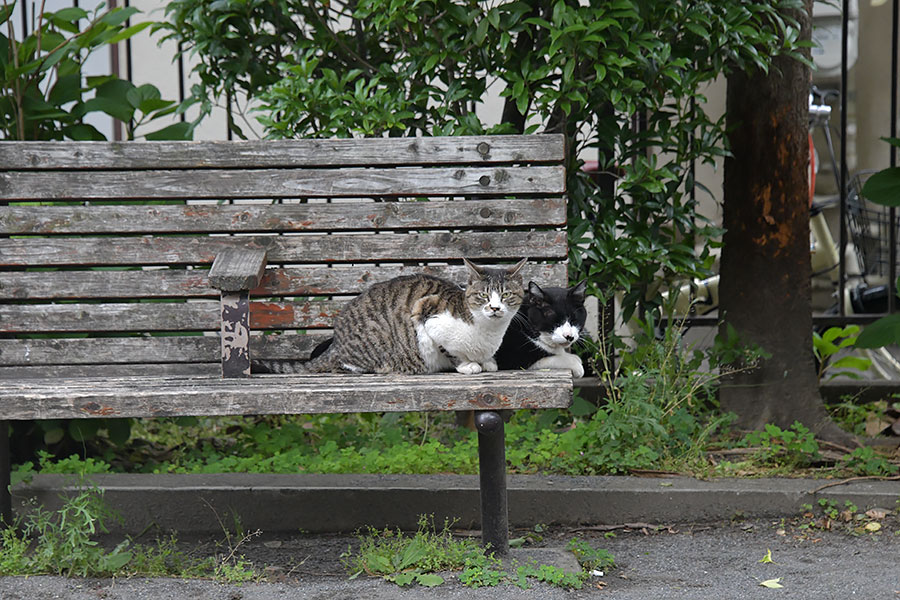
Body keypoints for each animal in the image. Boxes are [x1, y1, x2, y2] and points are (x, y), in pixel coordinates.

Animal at [251, 258, 528, 376]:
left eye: (506, 295)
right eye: (483, 296)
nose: (495, 308)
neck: (487, 332)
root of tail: (337, 342)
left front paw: (487, 361)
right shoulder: (425, 312)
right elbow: (449, 350)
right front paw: (468, 364)